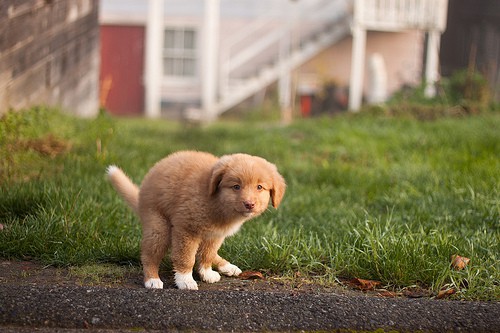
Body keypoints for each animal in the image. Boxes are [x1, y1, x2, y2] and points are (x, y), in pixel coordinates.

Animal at [105, 150, 286, 288]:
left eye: (259, 187)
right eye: (236, 187)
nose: (249, 204)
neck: (216, 202)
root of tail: (141, 194)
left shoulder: (215, 235)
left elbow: (207, 254)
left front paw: (206, 273)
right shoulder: (187, 230)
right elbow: (186, 257)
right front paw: (185, 280)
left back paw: (227, 266)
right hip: (158, 226)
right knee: (149, 255)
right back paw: (152, 279)